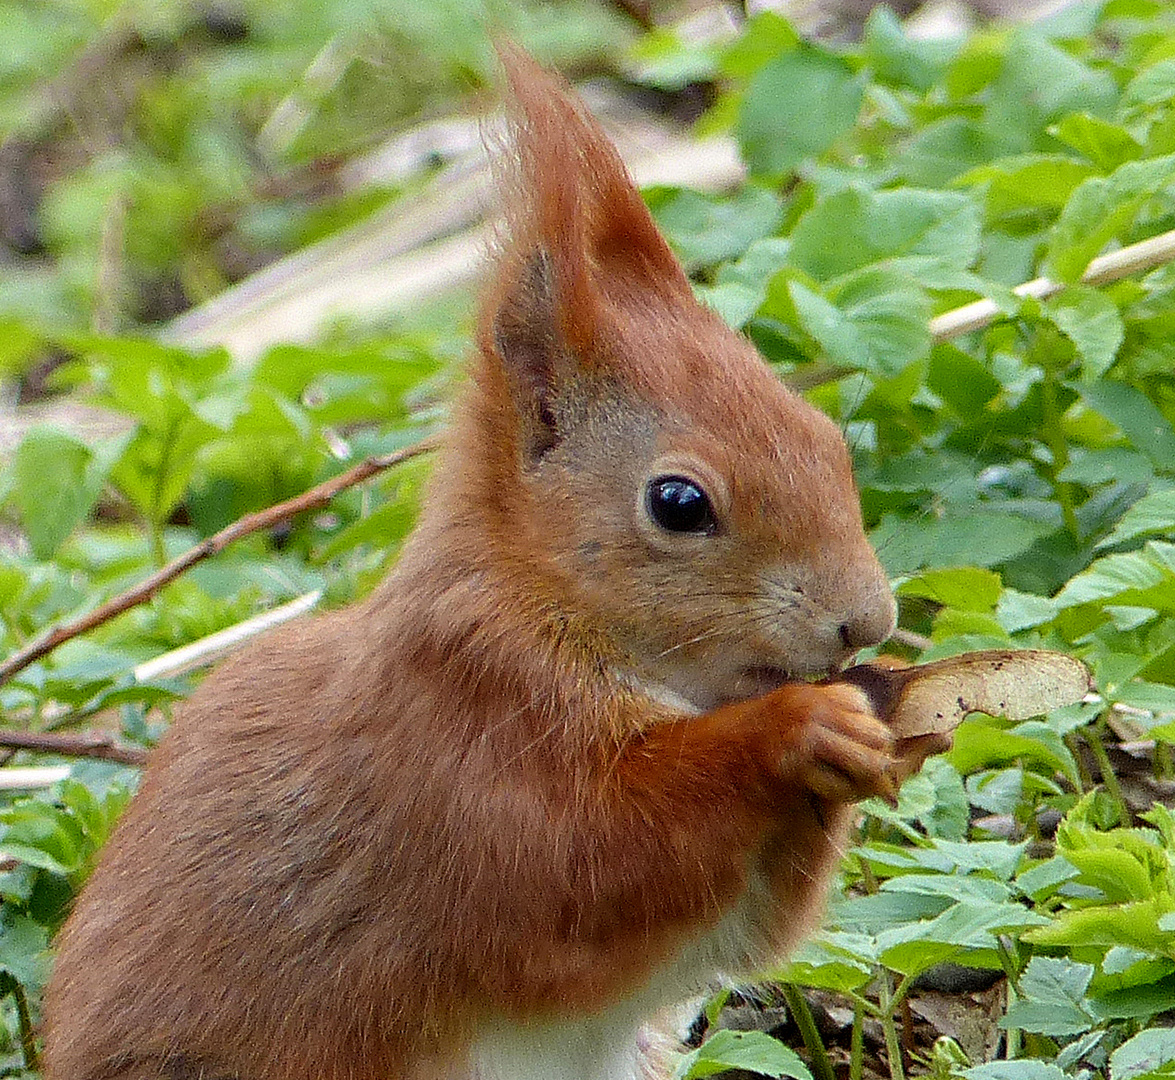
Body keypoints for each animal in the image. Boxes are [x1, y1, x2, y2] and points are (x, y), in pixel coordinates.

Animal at [43, 48, 916, 1080]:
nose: (865, 619)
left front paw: (875, 717)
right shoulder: (461, 746)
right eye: (678, 503)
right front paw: (801, 728)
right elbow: (590, 862)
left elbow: (743, 934)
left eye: (823, 437)